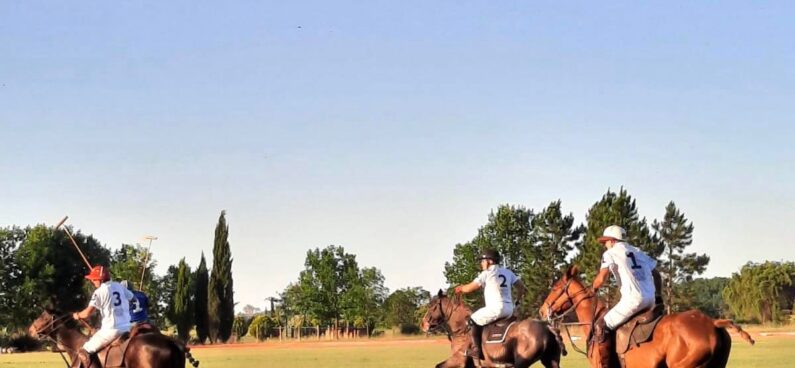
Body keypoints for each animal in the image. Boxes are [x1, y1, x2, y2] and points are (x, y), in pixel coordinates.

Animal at [422, 290, 564, 368]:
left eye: (432, 306)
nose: (423, 324)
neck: (462, 331)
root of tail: (548, 326)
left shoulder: (459, 360)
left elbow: (438, 366)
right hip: (551, 361)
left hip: (522, 362)